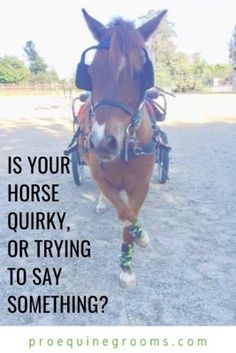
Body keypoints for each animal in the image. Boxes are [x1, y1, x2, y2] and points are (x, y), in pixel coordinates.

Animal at [77, 8, 166, 286]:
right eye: (91, 73)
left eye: (141, 74)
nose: (103, 142)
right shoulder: (102, 177)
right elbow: (125, 212)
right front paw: (141, 238)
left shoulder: (141, 185)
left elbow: (129, 219)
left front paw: (128, 265)